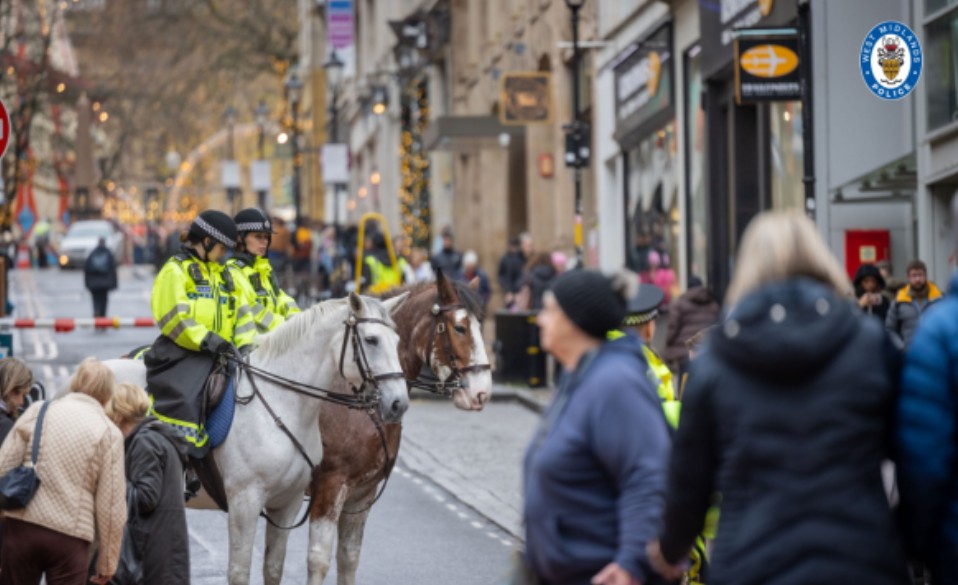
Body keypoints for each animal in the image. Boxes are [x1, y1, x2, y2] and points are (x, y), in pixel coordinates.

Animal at [105, 291, 410, 585]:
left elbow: (281, 567)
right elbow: (245, 571)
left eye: (397, 341)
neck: (283, 403)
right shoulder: (250, 501)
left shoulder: (296, 502)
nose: (399, 403)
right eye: (371, 340)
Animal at [306, 271, 493, 584]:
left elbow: (349, 557)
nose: (482, 392)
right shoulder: (329, 487)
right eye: (459, 328)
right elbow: (318, 560)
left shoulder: (362, 492)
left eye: (481, 325)